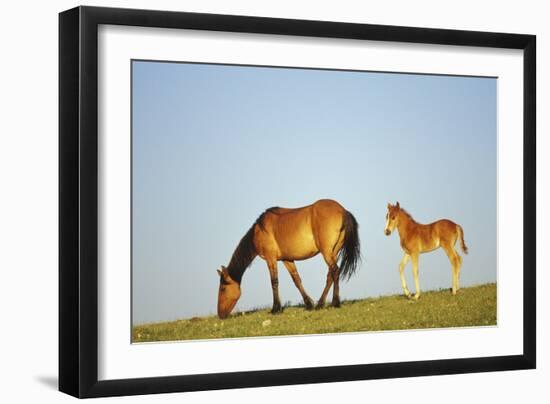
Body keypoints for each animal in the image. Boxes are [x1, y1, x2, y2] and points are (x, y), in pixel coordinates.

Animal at [218, 199, 364, 318]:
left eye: (223, 288)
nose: (220, 314)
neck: (259, 230)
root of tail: (343, 210)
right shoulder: (287, 259)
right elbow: (296, 280)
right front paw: (308, 304)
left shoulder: (271, 259)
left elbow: (274, 282)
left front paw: (275, 309)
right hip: (333, 251)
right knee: (331, 275)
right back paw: (323, 303)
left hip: (327, 252)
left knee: (335, 271)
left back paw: (332, 303)